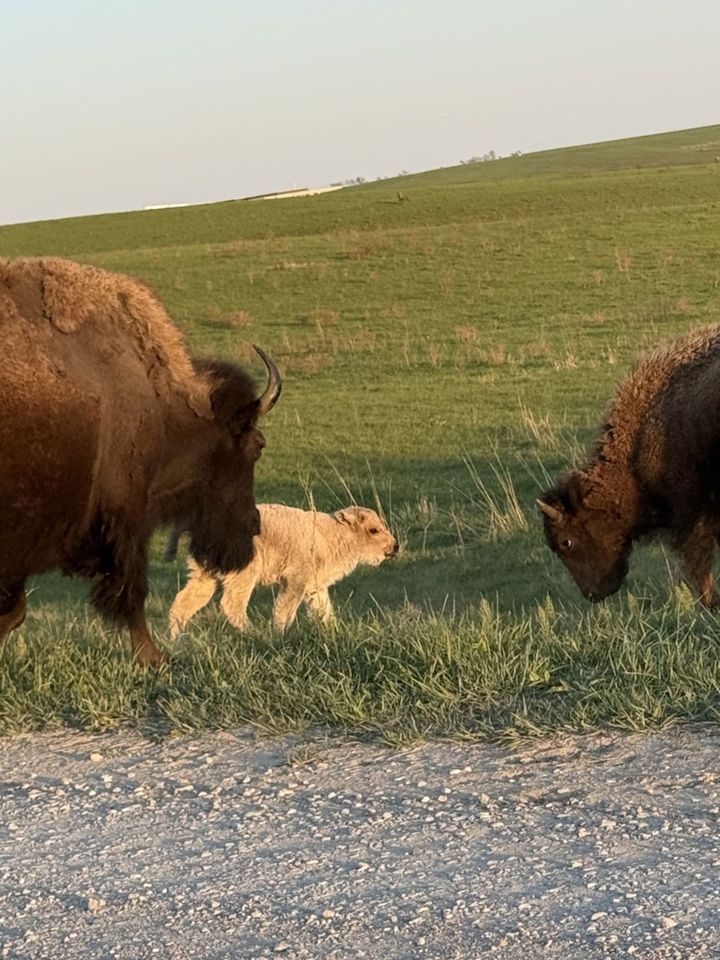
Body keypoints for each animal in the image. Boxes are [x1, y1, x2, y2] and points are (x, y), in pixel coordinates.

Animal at [0, 256, 281, 665]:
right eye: (257, 446)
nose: (254, 524)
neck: (162, 408)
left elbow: (14, 610)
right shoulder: (126, 516)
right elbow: (131, 592)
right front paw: (154, 658)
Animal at [168, 504, 399, 636]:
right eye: (373, 530)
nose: (395, 547)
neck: (331, 535)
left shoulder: (314, 586)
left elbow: (324, 611)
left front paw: (335, 633)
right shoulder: (295, 580)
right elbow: (285, 610)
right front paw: (279, 635)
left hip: (204, 577)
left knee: (184, 603)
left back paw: (175, 640)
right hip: (243, 573)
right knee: (231, 604)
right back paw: (254, 634)